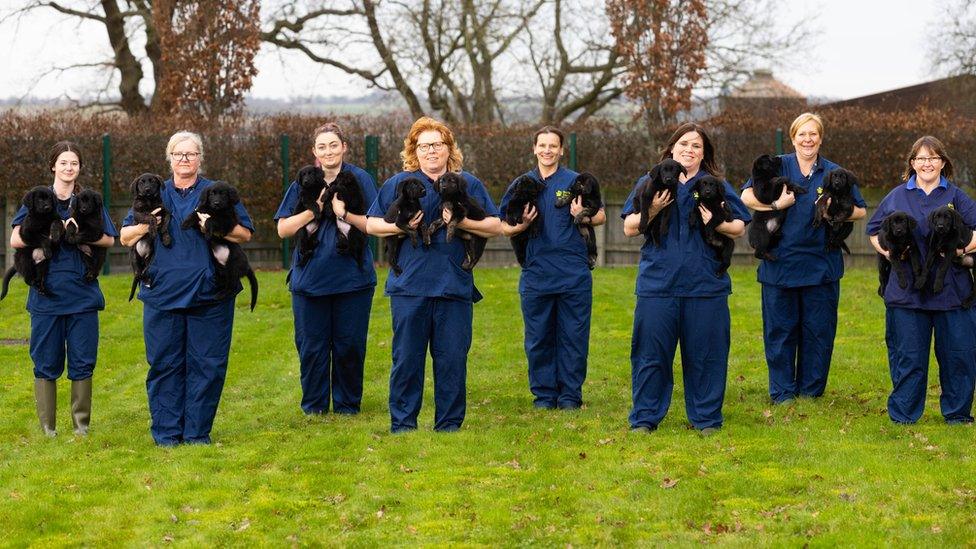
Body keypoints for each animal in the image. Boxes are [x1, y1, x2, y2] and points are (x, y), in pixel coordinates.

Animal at [127, 172, 172, 300]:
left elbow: (165, 225)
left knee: (144, 272)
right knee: (138, 274)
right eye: (141, 182)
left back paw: (147, 279)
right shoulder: (138, 213)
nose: (147, 189)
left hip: (151, 258)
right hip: (134, 256)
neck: (149, 199)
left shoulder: (165, 211)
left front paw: (166, 239)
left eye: (153, 181)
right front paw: (152, 230)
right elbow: (151, 216)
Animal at [179, 182, 255, 310]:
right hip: (220, 268)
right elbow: (196, 213)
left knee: (233, 286)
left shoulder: (228, 220)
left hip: (233, 266)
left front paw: (208, 231)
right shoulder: (202, 211)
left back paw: (221, 294)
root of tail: (247, 266)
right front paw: (185, 223)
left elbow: (212, 220)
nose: (216, 203)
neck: (215, 210)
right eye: (211, 194)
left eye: (223, 194)